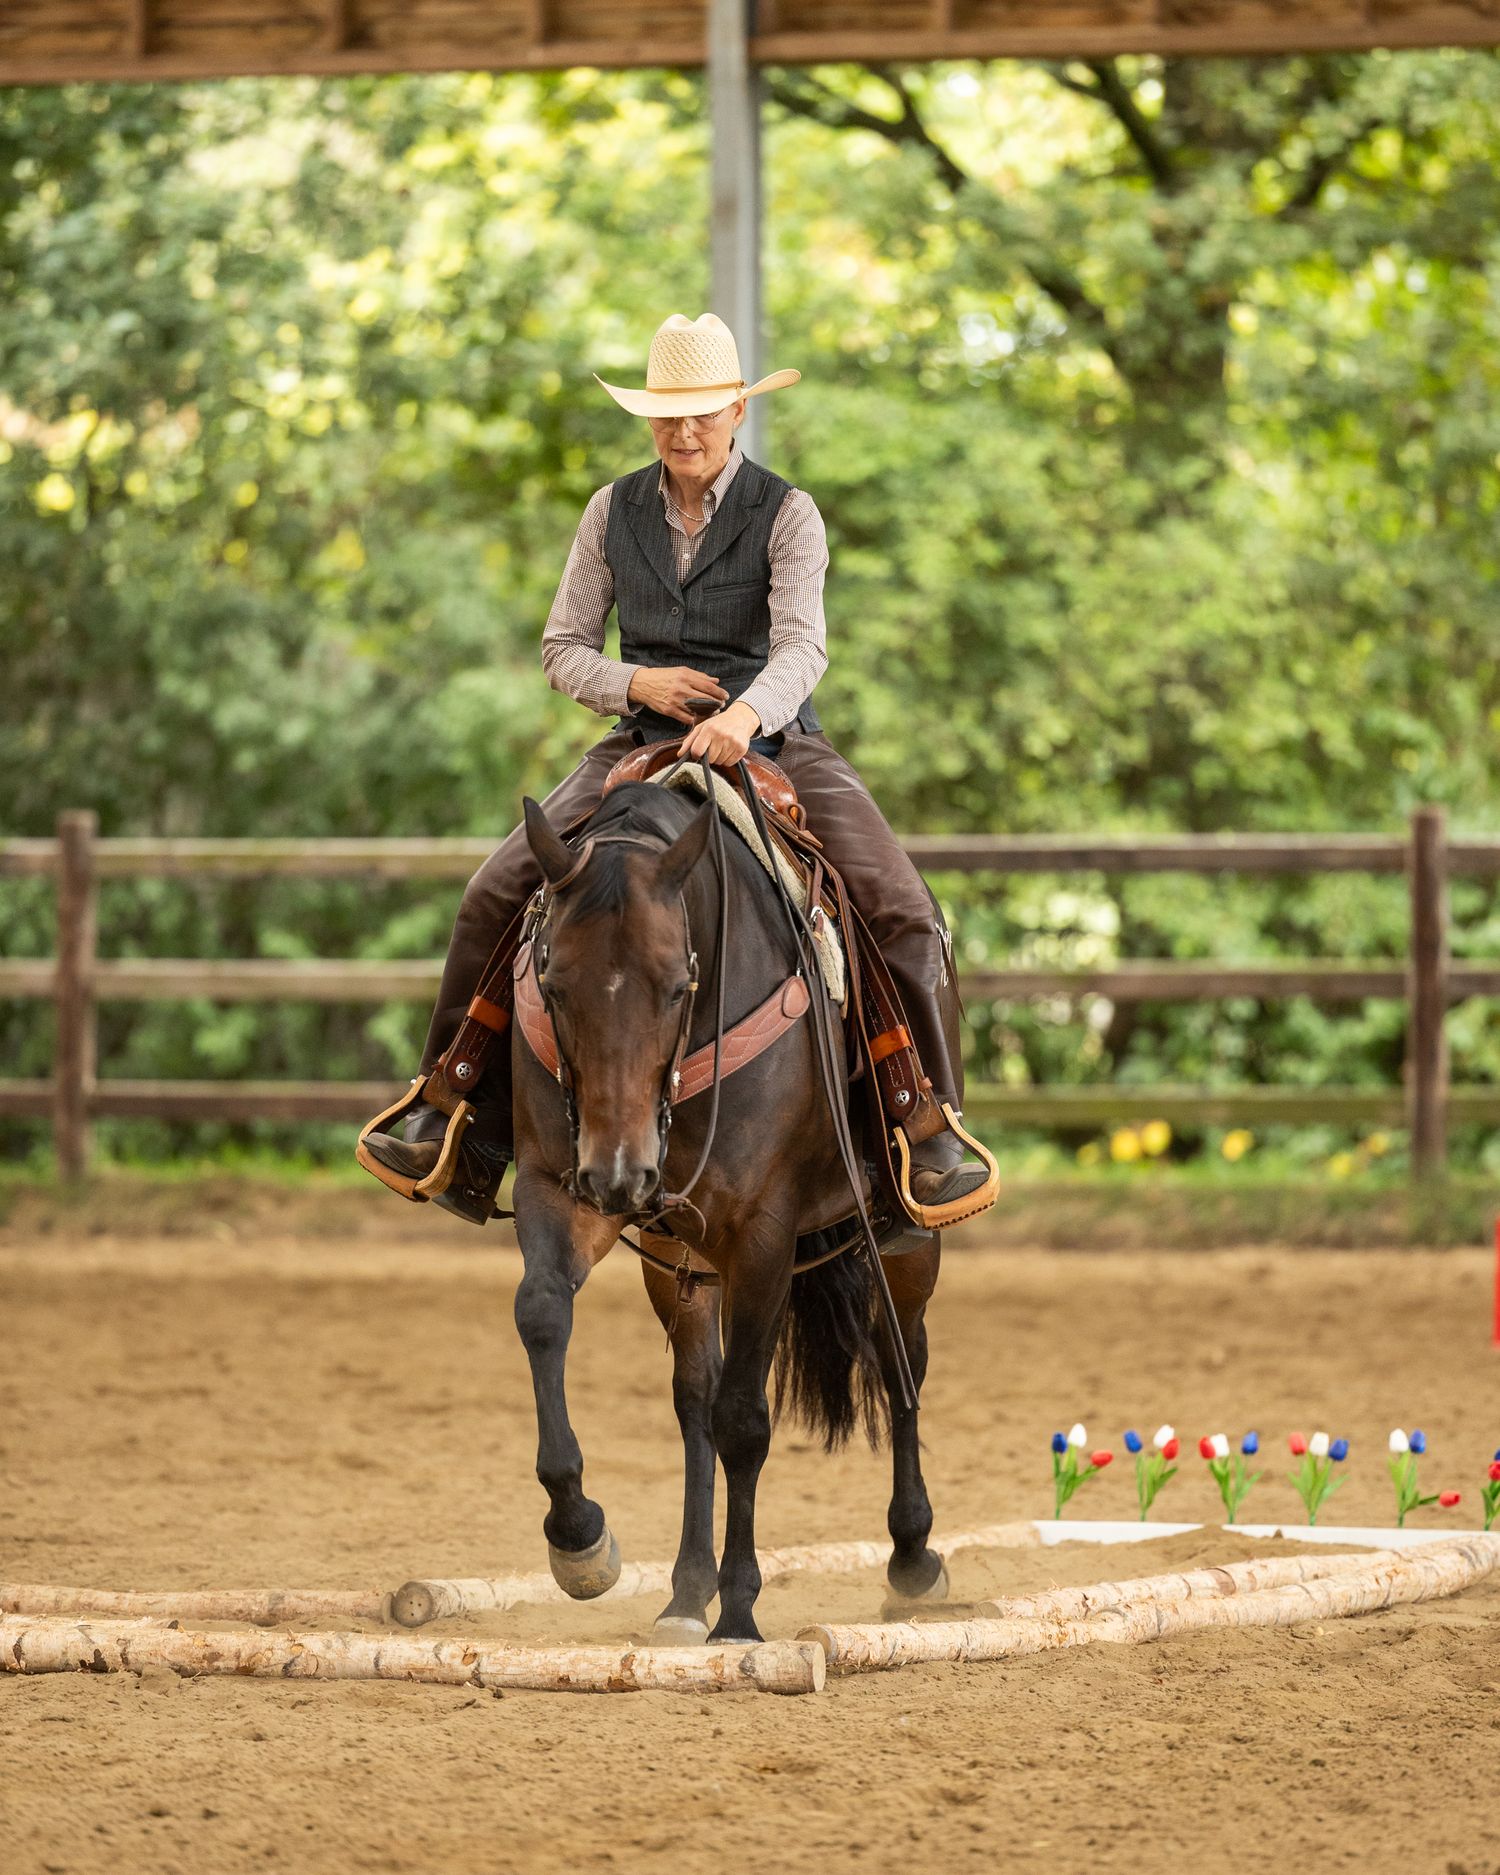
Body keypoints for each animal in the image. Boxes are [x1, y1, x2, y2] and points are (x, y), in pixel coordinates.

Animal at [511, 775, 949, 1644]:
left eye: (677, 986)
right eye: (554, 985)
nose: (619, 1173)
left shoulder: (763, 1233)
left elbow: (746, 1418)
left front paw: (741, 1611)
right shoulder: (555, 1183)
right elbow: (543, 1311)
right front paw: (580, 1537)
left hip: (905, 1240)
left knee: (900, 1362)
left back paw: (913, 1555)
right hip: (679, 1256)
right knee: (694, 1399)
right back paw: (684, 1594)